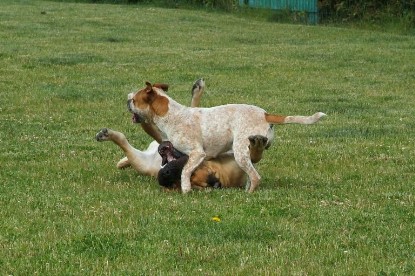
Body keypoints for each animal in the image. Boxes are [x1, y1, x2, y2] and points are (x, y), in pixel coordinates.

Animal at [128, 82, 326, 193]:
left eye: (135, 100)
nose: (127, 100)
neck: (171, 114)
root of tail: (265, 115)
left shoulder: (197, 153)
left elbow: (185, 172)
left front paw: (185, 189)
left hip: (240, 152)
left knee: (255, 177)